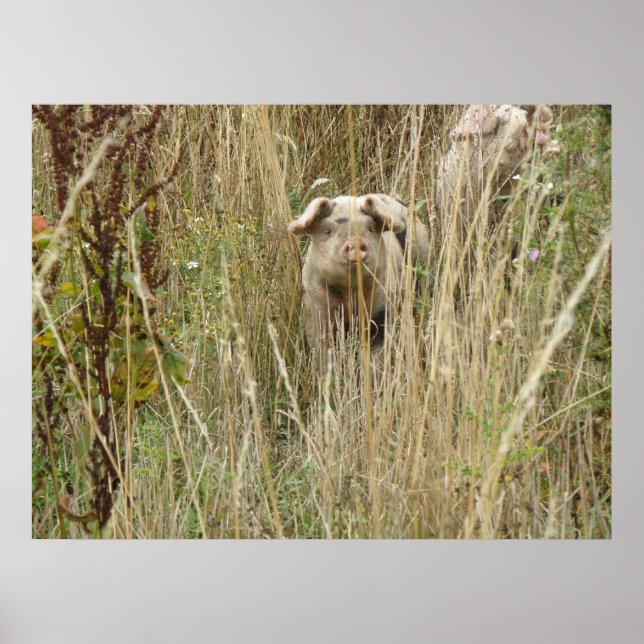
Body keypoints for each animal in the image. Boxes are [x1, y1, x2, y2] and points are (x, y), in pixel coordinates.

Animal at [288, 193, 429, 359]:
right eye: (328, 230)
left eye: (371, 228)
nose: (355, 241)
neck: (350, 292)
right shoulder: (315, 308)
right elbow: (322, 348)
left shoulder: (382, 305)